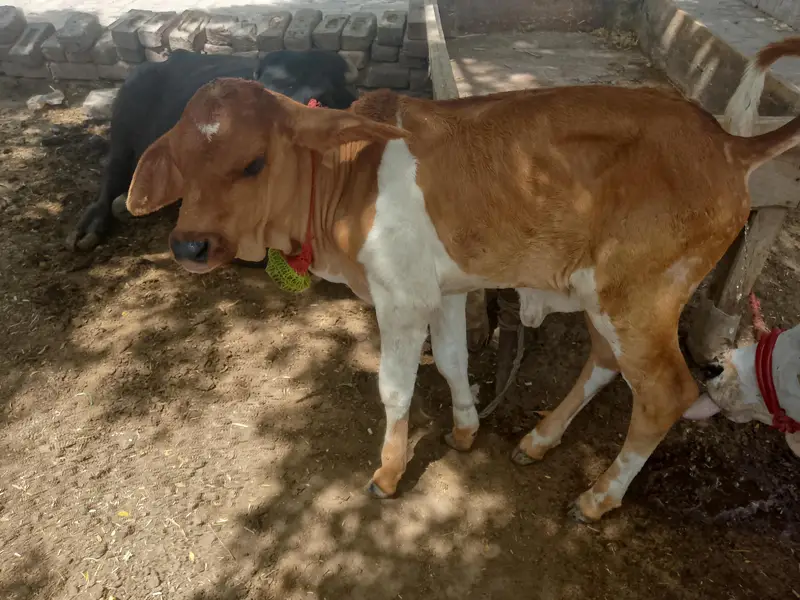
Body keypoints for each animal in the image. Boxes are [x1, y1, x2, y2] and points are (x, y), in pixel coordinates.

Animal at [120, 37, 800, 521]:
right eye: (181, 159)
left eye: (253, 162)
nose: (189, 244)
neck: (348, 178)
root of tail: (725, 144)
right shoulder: (442, 290)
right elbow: (451, 361)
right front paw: (468, 430)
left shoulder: (400, 299)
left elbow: (395, 388)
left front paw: (388, 473)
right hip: (605, 296)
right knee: (606, 361)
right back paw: (540, 439)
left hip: (641, 295)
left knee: (664, 393)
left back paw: (599, 497)